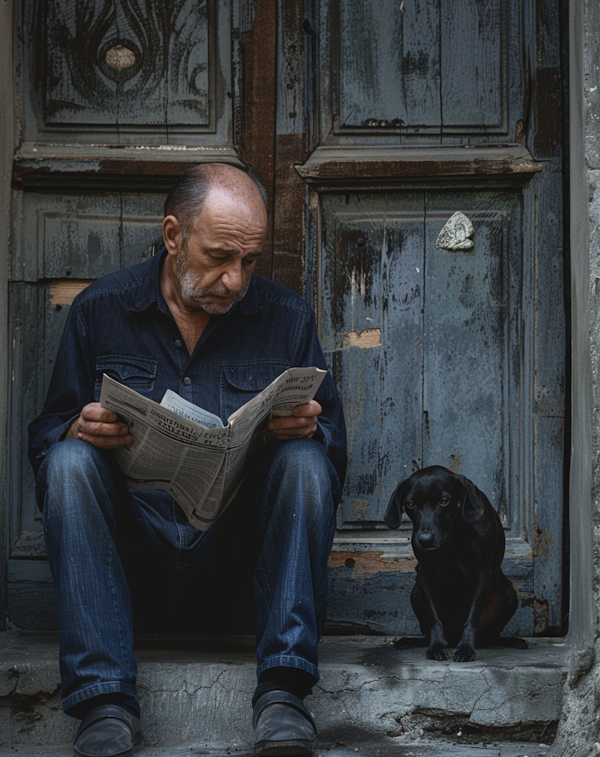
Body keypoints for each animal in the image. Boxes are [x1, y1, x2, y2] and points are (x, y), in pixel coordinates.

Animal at [384, 464, 524, 660]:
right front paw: (436, 647)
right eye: (410, 504)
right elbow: (434, 619)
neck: (453, 535)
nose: (425, 540)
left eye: (444, 501)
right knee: (427, 634)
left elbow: (472, 617)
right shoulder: (425, 573)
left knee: (491, 635)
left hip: (509, 596)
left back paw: (512, 641)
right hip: (416, 593)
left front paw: (466, 648)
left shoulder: (483, 572)